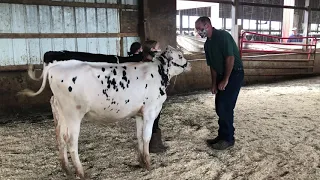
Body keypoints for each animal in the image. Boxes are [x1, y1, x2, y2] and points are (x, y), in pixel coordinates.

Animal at [18, 45, 190, 179]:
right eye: (180, 55)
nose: (188, 64)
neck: (158, 72)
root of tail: (57, 66)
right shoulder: (150, 111)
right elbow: (147, 137)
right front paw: (148, 164)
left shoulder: (139, 114)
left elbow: (140, 137)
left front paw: (141, 161)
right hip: (73, 114)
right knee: (71, 141)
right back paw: (81, 173)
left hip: (60, 113)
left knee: (60, 138)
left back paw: (67, 170)